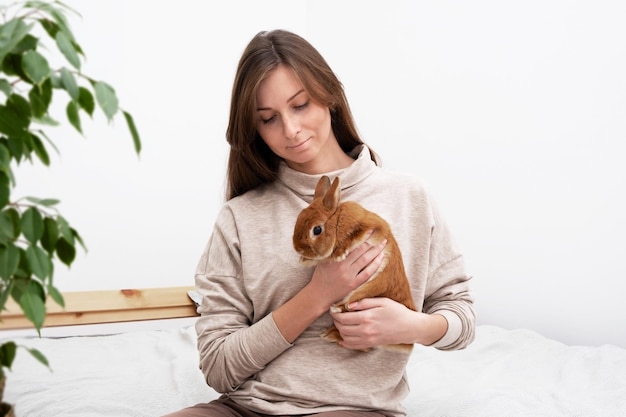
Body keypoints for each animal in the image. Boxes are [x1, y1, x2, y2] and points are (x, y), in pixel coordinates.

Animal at [292, 173, 414, 352]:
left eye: (317, 230)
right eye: (298, 220)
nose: (298, 249)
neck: (336, 221)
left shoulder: (371, 227)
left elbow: (352, 237)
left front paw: (339, 254)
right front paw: (304, 260)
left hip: (369, 289)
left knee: (350, 309)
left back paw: (335, 313)